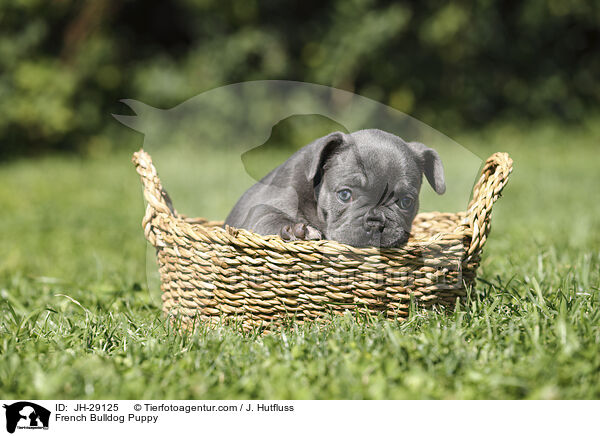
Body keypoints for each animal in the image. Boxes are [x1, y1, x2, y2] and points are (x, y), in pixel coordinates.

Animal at [225, 127, 446, 247]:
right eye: (345, 195)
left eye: (406, 202)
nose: (375, 222)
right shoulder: (263, 208)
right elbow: (268, 216)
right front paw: (297, 231)